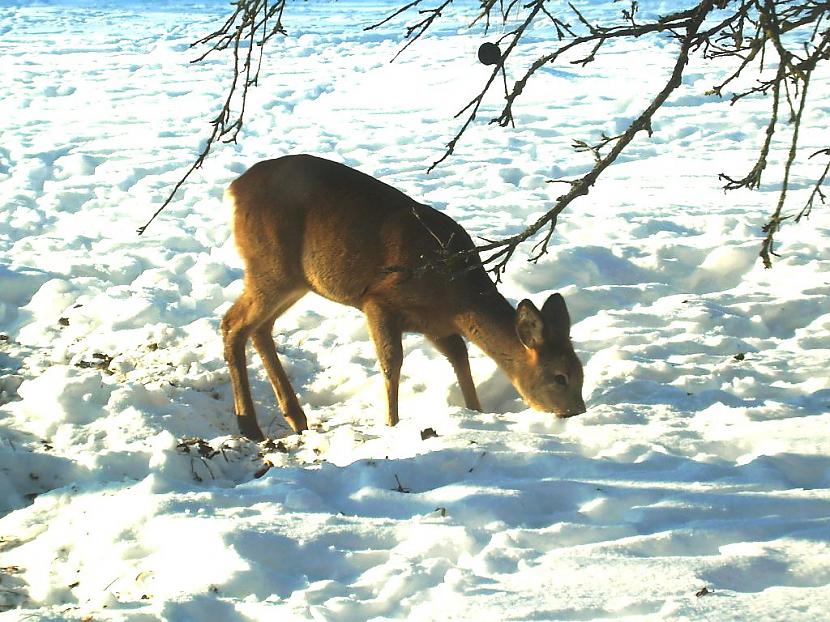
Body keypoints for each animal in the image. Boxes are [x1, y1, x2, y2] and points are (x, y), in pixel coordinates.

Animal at [221, 154, 584, 442]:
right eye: (559, 377)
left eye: (581, 371)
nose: (577, 412)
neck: (456, 296)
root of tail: (235, 188)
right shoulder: (380, 300)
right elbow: (392, 362)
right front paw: (392, 424)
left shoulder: (437, 326)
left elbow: (460, 358)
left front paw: (475, 413)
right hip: (270, 267)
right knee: (232, 323)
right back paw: (250, 426)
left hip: (295, 281)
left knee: (260, 328)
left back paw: (296, 419)